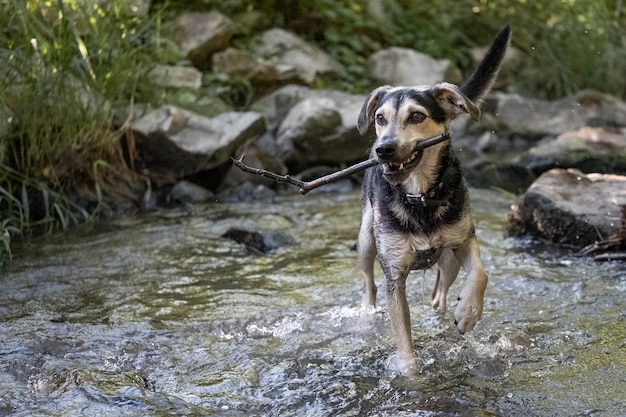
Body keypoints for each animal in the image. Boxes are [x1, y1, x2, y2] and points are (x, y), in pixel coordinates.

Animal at [354, 25, 510, 374]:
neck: (420, 196)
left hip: (448, 259)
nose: (382, 150)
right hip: (367, 240)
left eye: (416, 116)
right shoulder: (395, 275)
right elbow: (402, 337)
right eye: (380, 118)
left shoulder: (464, 239)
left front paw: (468, 312)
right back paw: (367, 314)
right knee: (369, 282)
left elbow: (481, 273)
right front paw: (410, 373)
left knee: (439, 295)